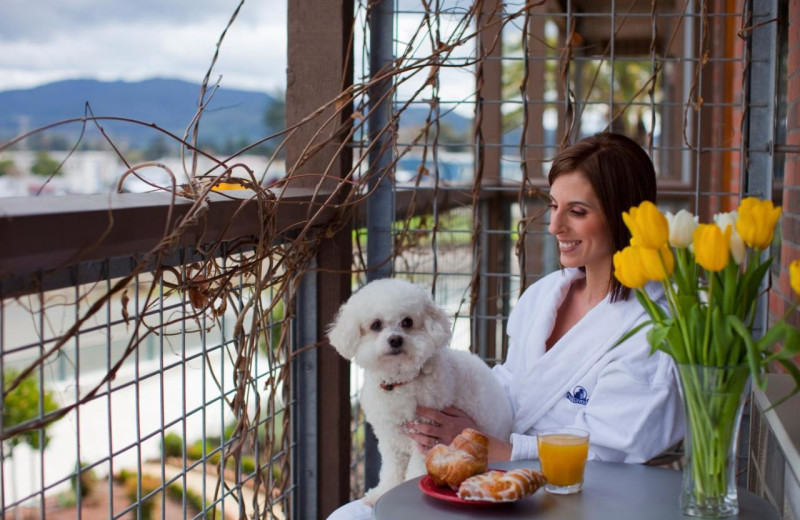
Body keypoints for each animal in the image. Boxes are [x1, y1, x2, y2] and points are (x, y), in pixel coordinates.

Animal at [326, 280, 510, 504]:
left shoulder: (426, 438)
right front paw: (382, 492)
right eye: (376, 325)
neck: (399, 384)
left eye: (407, 322)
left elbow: (416, 470)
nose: (395, 340)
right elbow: (391, 471)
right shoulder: (390, 440)